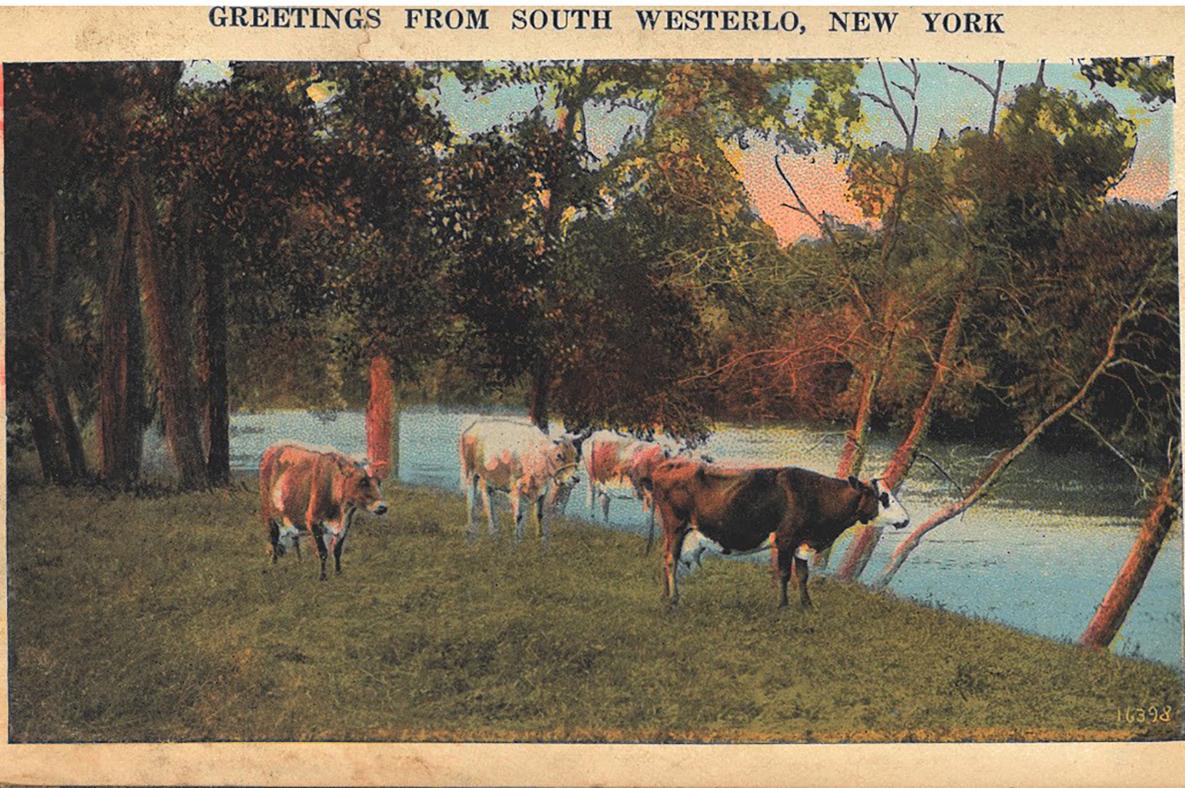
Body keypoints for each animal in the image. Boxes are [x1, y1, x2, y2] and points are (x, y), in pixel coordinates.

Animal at [259, 438, 388, 580]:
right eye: (363, 481)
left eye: (379, 482)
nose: (382, 507)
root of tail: (273, 448)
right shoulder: (314, 523)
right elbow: (323, 552)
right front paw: (323, 577)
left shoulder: (345, 526)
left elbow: (337, 550)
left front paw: (338, 573)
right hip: (268, 512)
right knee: (274, 537)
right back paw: (274, 563)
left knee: (295, 537)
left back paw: (299, 561)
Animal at [649, 462, 905, 606]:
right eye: (884, 497)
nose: (906, 519)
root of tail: (664, 468)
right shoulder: (785, 540)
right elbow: (783, 573)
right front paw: (783, 605)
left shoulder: (802, 544)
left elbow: (802, 575)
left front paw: (807, 605)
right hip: (675, 526)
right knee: (670, 559)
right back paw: (673, 598)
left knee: (665, 558)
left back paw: (664, 596)